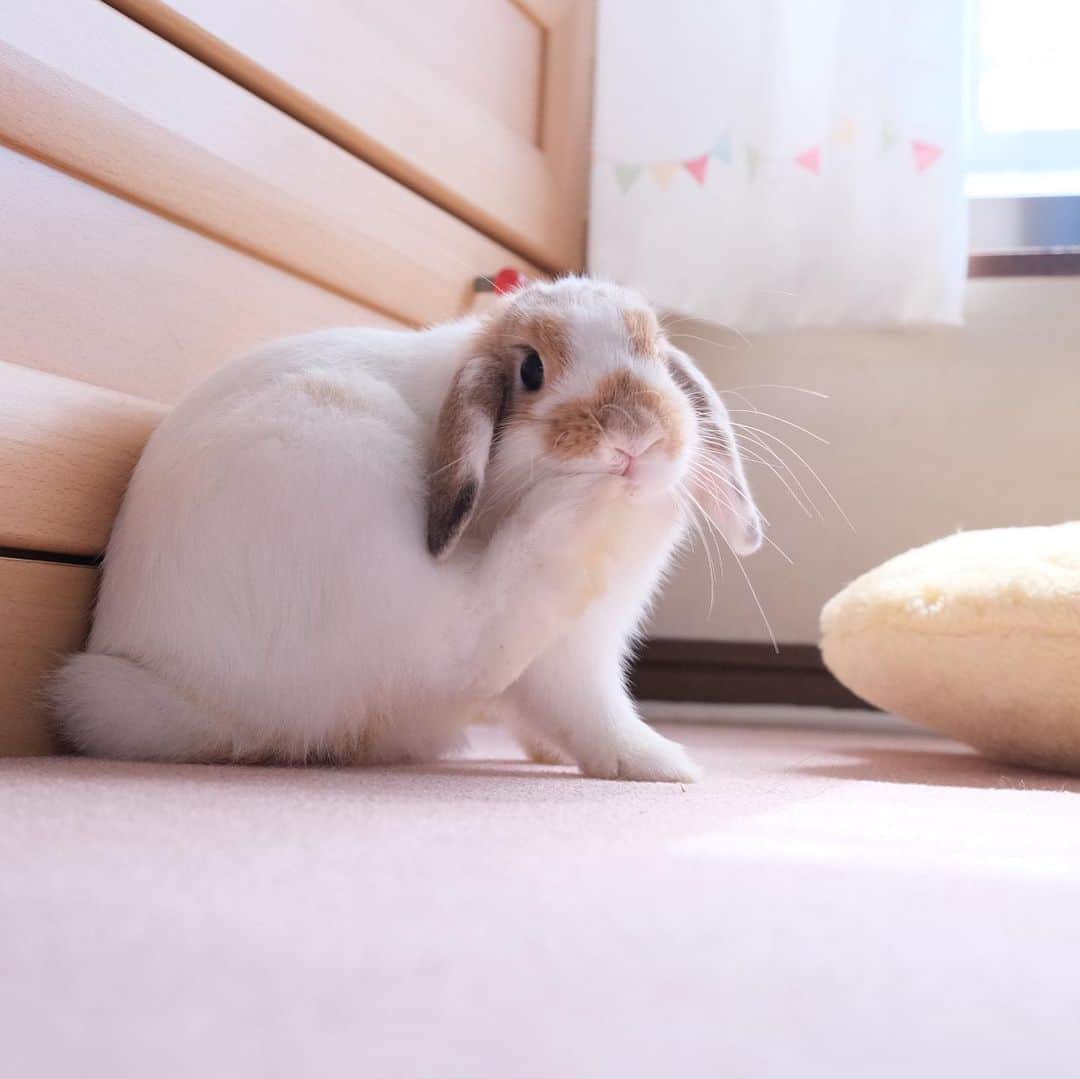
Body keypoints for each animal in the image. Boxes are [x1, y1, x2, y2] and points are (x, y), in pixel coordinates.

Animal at [49, 276, 762, 782]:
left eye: (656, 355)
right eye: (530, 368)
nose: (633, 434)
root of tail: (190, 696)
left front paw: (552, 754)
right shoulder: (574, 657)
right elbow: (593, 711)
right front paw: (660, 765)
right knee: (467, 638)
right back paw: (570, 511)